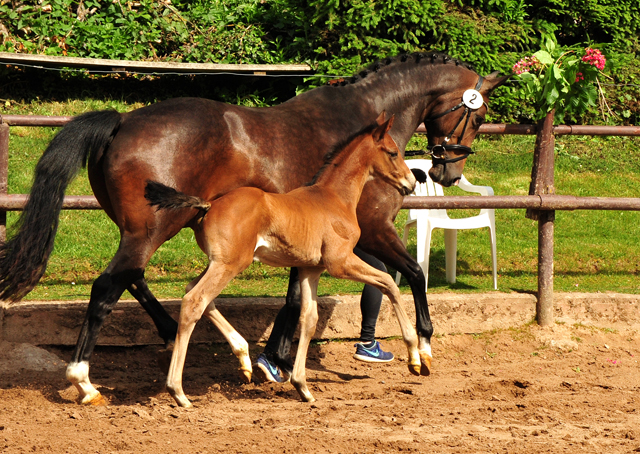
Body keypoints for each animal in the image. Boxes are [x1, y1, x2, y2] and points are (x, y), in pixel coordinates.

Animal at [148, 114, 422, 408]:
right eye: (393, 153)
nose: (411, 183)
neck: (335, 198)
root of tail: (208, 205)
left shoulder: (310, 269)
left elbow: (309, 318)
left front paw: (302, 386)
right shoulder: (340, 262)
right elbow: (388, 283)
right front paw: (416, 358)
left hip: (220, 263)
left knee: (193, 292)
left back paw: (244, 358)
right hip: (230, 264)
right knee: (194, 300)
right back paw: (178, 391)